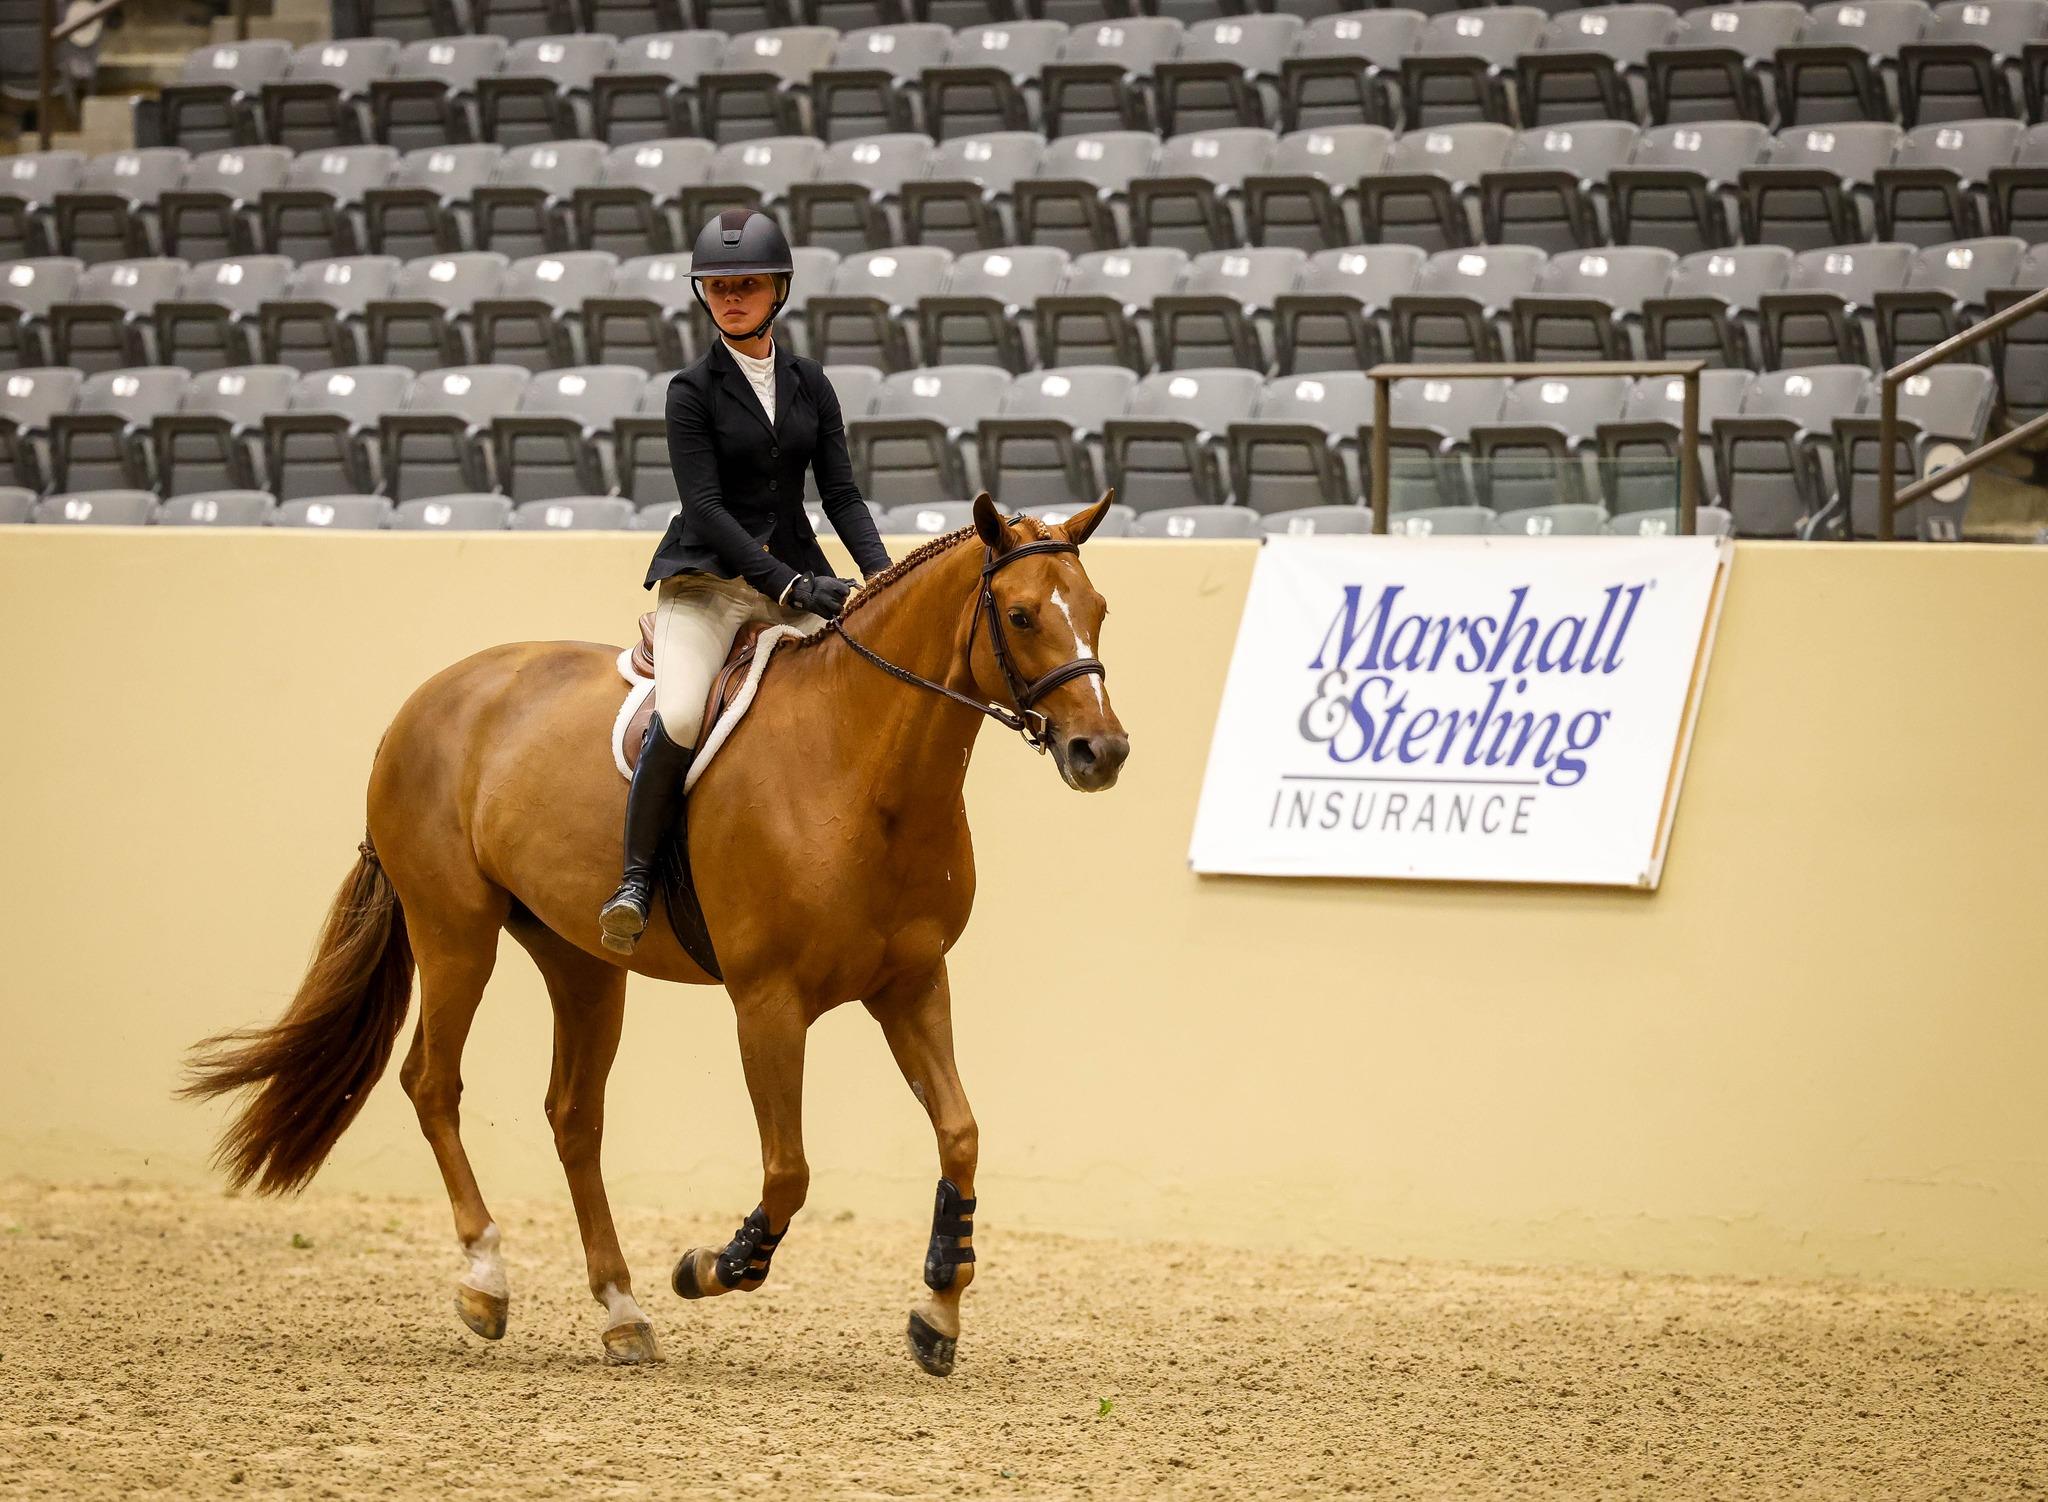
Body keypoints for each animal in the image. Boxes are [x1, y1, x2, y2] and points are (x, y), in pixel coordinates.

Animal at [182, 493, 1128, 1374]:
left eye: (1099, 607)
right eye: (1021, 615)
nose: (1102, 752)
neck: (863, 766)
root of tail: (428, 701)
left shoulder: (912, 982)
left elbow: (960, 1135)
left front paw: (937, 1312)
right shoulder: (768, 1002)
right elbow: (788, 1171)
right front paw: (714, 1266)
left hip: (581, 962)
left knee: (573, 1117)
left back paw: (620, 1310)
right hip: (456, 933)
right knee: (431, 1084)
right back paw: (486, 1279)